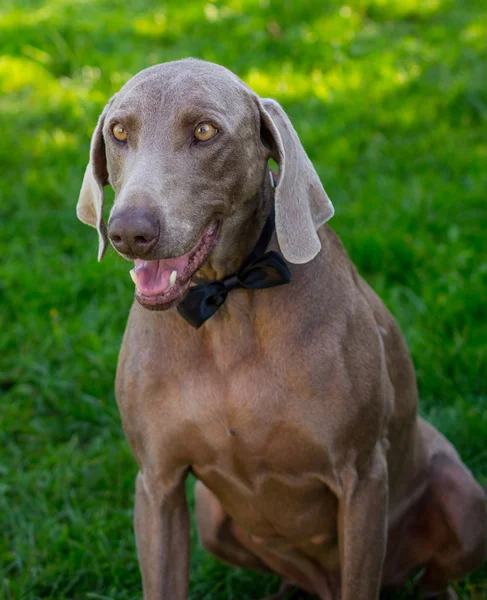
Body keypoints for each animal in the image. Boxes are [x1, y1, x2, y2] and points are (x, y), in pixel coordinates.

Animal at [76, 57, 487, 600]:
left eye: (205, 131)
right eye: (119, 131)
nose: (128, 232)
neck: (228, 305)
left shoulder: (362, 477)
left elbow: (361, 576)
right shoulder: (157, 483)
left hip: (465, 501)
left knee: (430, 574)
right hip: (211, 517)